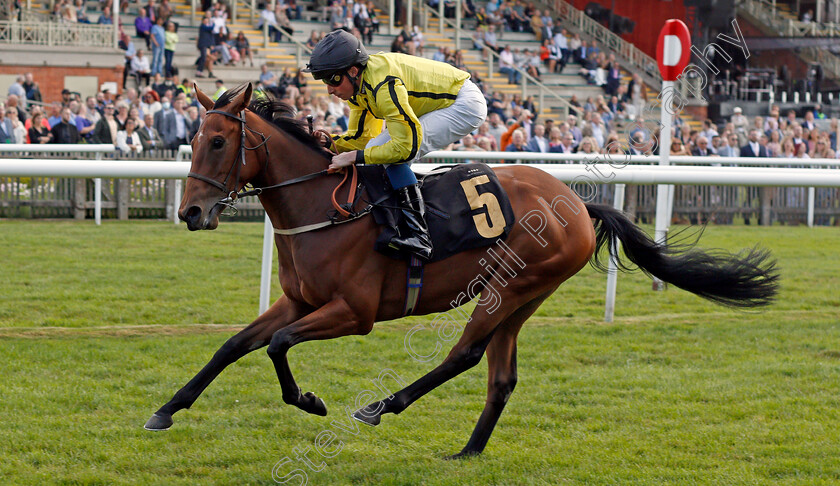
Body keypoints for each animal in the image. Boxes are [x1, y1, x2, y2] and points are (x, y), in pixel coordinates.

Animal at [146, 84, 780, 460]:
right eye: (193, 139)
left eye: (219, 141)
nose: (191, 213)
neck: (324, 206)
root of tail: (577, 203)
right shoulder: (300, 301)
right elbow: (234, 345)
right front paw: (166, 410)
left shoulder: (354, 313)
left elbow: (277, 345)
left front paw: (310, 400)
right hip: (524, 295)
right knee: (501, 375)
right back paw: (468, 451)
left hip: (510, 287)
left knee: (465, 355)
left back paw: (381, 407)